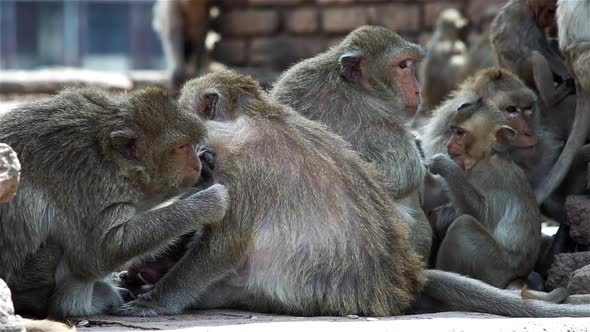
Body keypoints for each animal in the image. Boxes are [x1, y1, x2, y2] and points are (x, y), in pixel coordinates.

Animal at [272, 26, 434, 262]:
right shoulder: (380, 127)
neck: (355, 87)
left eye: (411, 65)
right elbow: (404, 175)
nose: (418, 91)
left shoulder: (299, 79)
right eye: (403, 65)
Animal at [428, 98, 544, 288]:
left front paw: (445, 165)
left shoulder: (494, 177)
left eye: (460, 133)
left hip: (495, 268)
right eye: (452, 130)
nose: (449, 144)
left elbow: (483, 215)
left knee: (464, 226)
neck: (486, 156)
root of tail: (518, 277)